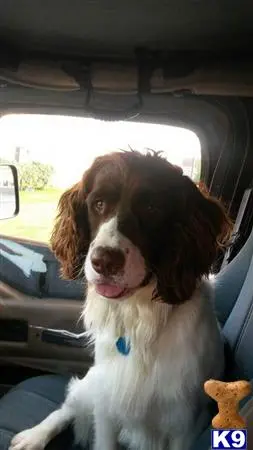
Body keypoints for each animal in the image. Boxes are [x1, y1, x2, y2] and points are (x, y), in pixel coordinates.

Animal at [9, 151, 231, 450]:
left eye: (151, 208)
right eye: (99, 204)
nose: (103, 261)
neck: (138, 314)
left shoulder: (183, 423)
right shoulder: (107, 404)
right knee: (67, 408)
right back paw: (33, 436)